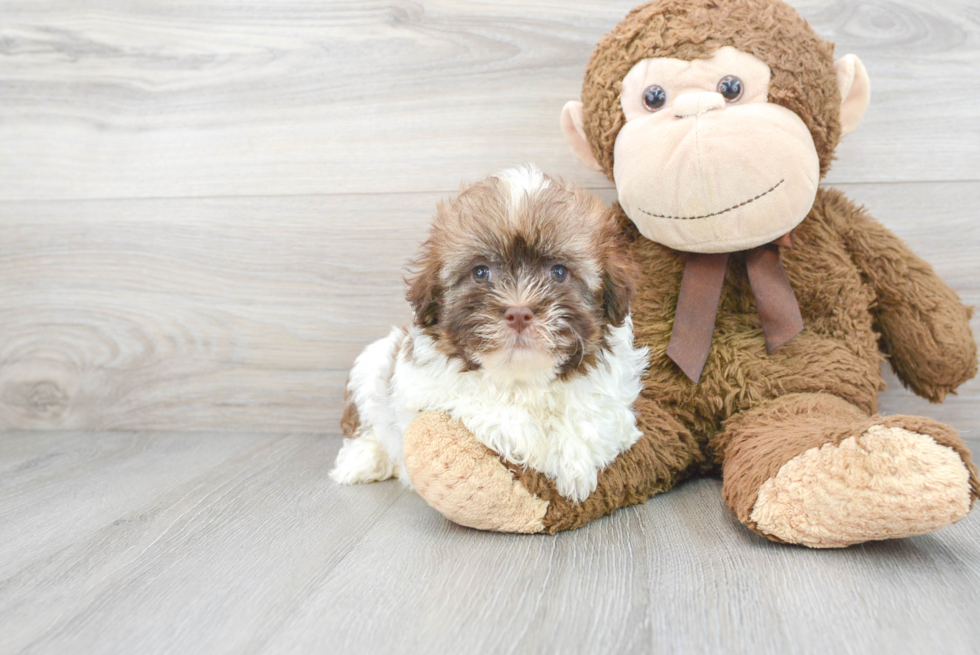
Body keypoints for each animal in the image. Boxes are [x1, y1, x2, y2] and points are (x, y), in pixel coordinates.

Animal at [332, 164, 652, 502]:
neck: (523, 377)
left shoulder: (613, 395)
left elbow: (594, 416)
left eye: (559, 272)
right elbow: (488, 408)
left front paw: (575, 465)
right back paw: (361, 461)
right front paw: (538, 448)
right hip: (369, 368)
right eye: (481, 272)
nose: (519, 312)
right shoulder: (428, 390)